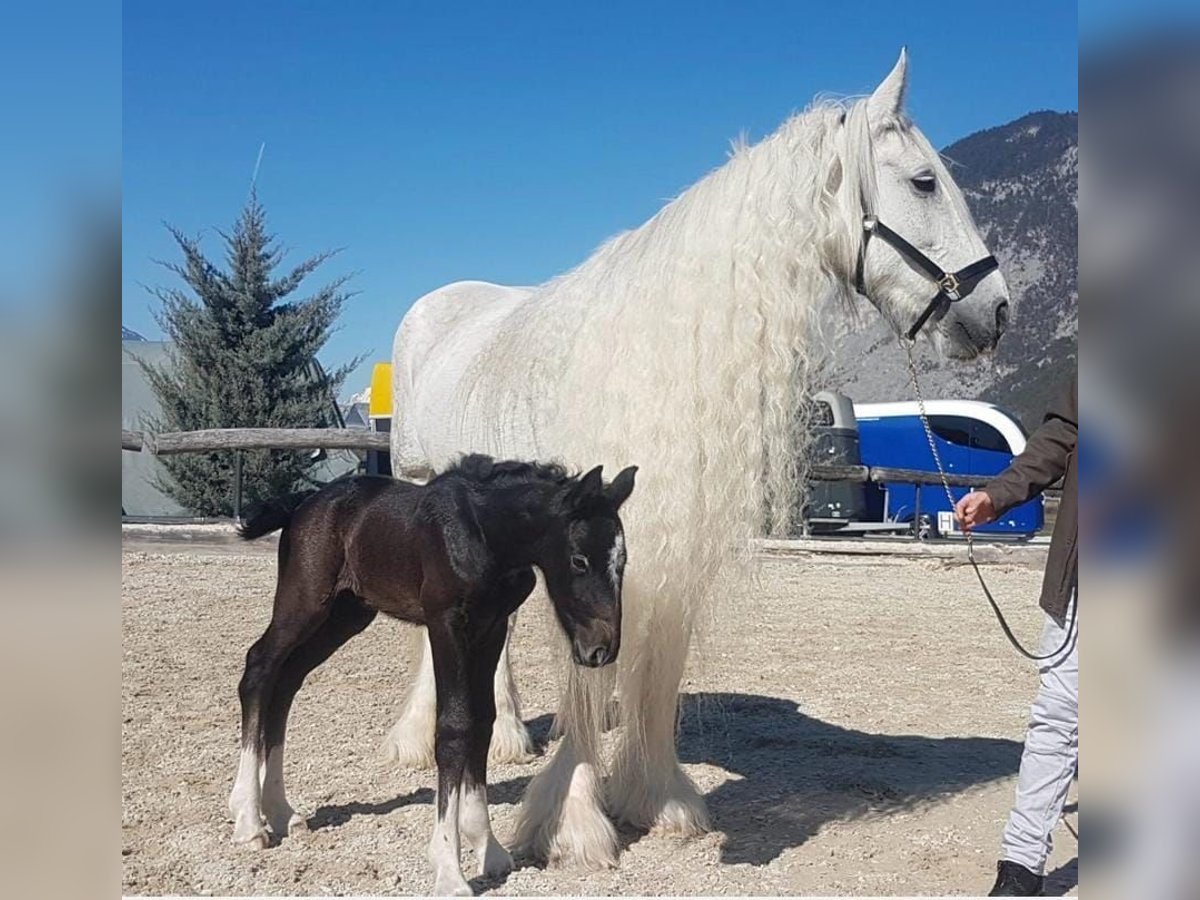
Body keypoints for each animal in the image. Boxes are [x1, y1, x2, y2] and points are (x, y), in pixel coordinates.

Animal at [227, 455, 637, 896]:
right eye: (579, 560)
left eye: (621, 562)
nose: (602, 650)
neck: (485, 534)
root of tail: (304, 504)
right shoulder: (446, 624)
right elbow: (454, 727)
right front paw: (449, 870)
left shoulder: (491, 626)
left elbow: (483, 721)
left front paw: (488, 847)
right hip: (303, 603)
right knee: (260, 668)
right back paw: (249, 820)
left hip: (346, 615)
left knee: (287, 681)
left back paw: (281, 812)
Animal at [382, 50, 1012, 868]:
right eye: (924, 181)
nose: (997, 311)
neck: (660, 348)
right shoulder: (577, 540)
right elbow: (587, 677)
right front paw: (574, 823)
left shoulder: (666, 536)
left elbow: (658, 662)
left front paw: (657, 796)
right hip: (422, 485)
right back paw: (421, 736)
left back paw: (514, 734)